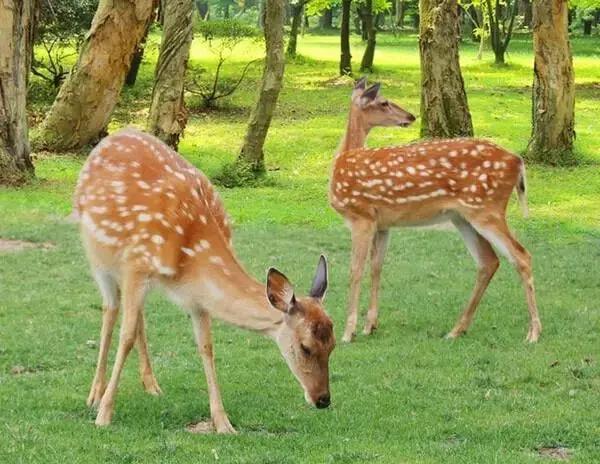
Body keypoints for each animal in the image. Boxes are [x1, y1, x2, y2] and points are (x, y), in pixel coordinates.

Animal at [75, 127, 336, 432]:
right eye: (305, 348)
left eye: (333, 345)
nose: (323, 399)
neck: (190, 255)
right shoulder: (135, 266)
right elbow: (124, 337)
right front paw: (104, 414)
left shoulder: (195, 297)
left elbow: (206, 347)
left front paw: (223, 423)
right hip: (98, 256)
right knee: (110, 310)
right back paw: (95, 394)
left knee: (137, 315)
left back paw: (151, 385)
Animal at [330, 78, 540, 342]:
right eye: (384, 102)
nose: (410, 116)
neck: (342, 159)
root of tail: (518, 162)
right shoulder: (382, 224)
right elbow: (376, 267)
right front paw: (370, 326)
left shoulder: (361, 216)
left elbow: (354, 270)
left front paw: (349, 333)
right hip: (463, 217)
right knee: (488, 261)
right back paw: (457, 329)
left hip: (486, 209)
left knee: (521, 255)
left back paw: (534, 333)